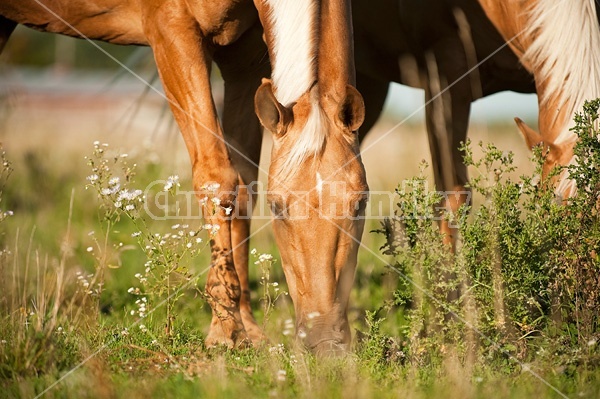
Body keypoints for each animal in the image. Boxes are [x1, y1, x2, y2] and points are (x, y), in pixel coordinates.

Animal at [0, 0, 366, 356]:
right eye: (278, 208)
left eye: (360, 204)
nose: (325, 341)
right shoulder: (172, 31)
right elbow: (217, 177)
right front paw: (225, 332)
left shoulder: (245, 59)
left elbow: (244, 188)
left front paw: (246, 326)